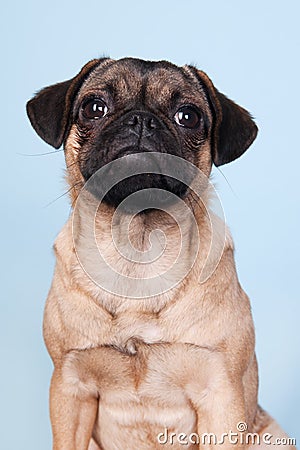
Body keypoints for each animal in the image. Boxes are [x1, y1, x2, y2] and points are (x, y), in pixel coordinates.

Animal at [26, 59, 296, 450]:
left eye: (188, 116)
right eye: (94, 107)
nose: (141, 120)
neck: (137, 250)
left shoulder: (221, 395)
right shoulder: (69, 388)